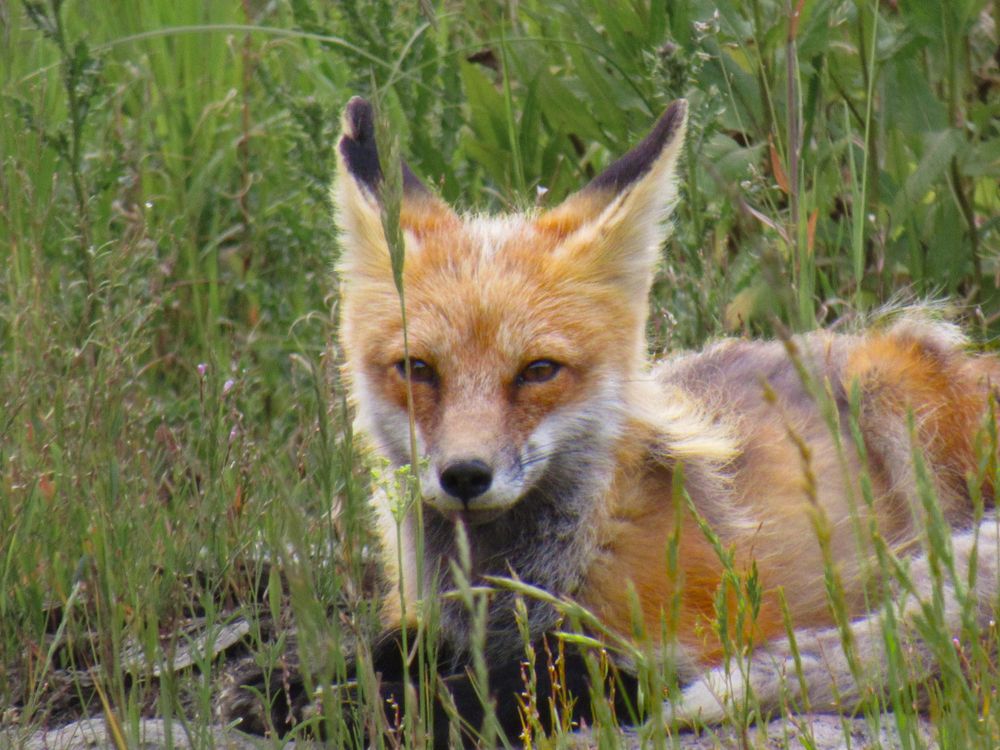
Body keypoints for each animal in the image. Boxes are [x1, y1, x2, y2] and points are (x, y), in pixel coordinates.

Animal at [236, 97, 1000, 746]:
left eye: (538, 370)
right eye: (417, 368)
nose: (464, 476)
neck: (515, 575)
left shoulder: (670, 646)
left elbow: (473, 692)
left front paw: (344, 706)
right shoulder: (439, 620)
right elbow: (389, 651)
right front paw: (299, 679)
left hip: (894, 388)